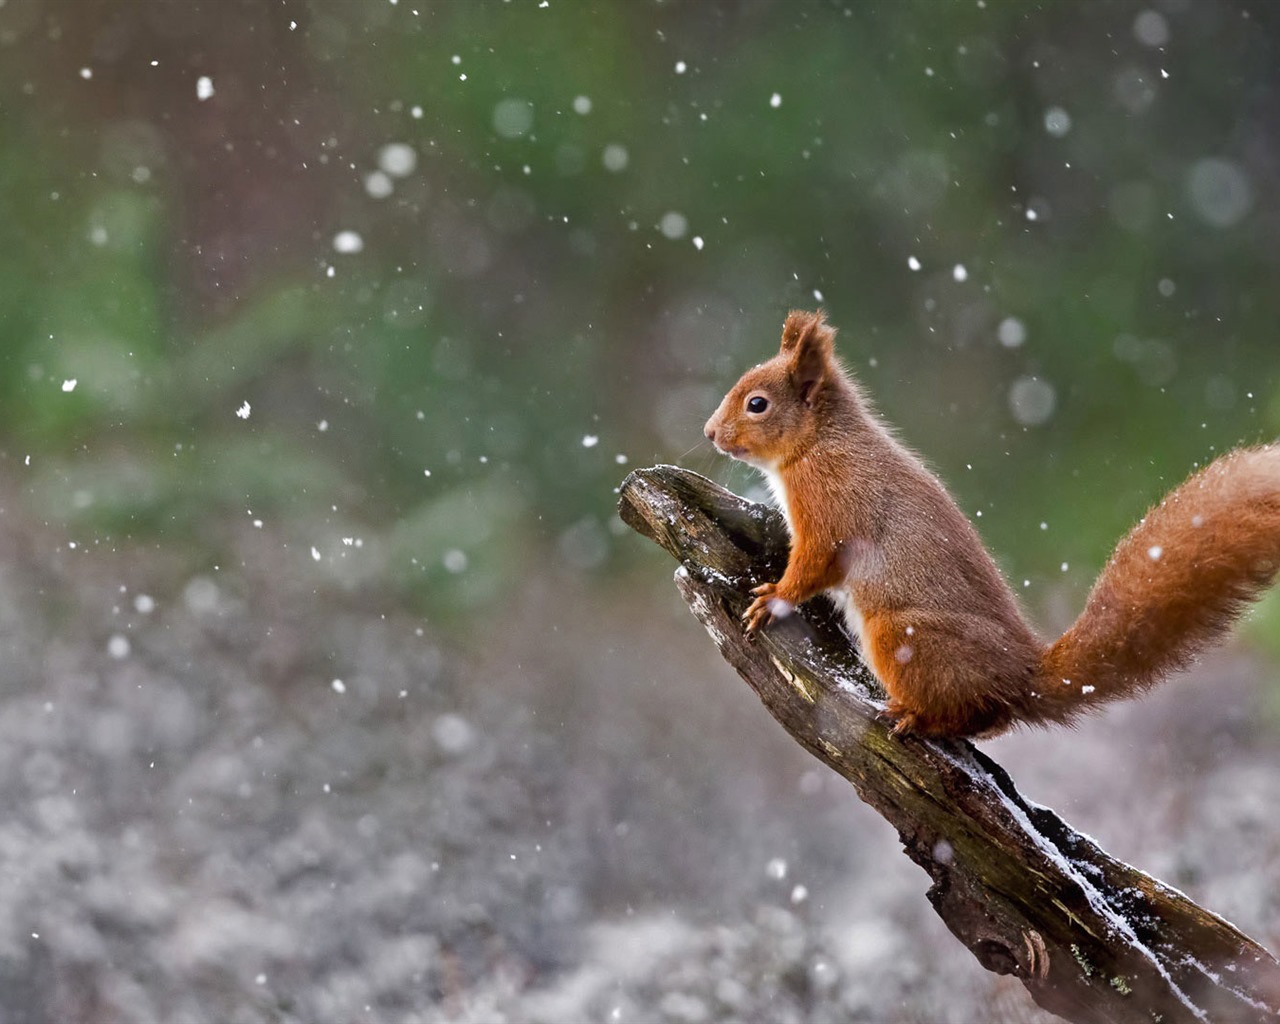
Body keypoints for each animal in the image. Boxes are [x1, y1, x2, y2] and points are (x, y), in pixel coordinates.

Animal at [706, 308, 1280, 742]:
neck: (817, 444)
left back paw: (920, 719)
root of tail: (1021, 675)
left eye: (757, 404)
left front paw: (773, 598)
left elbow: (812, 565)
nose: (710, 432)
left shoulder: (829, 507)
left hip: (901, 636)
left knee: (977, 712)